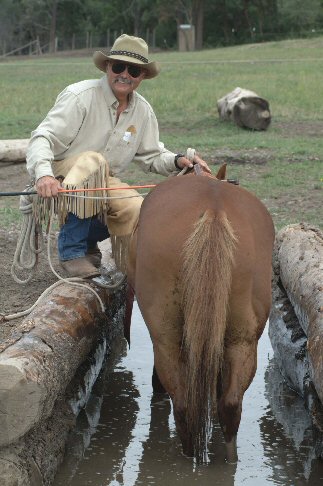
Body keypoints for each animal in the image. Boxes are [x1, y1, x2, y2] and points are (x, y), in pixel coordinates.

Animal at [126, 170, 276, 464]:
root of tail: (213, 209)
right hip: (243, 339)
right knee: (230, 404)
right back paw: (227, 459)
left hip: (167, 338)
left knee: (183, 404)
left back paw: (191, 456)